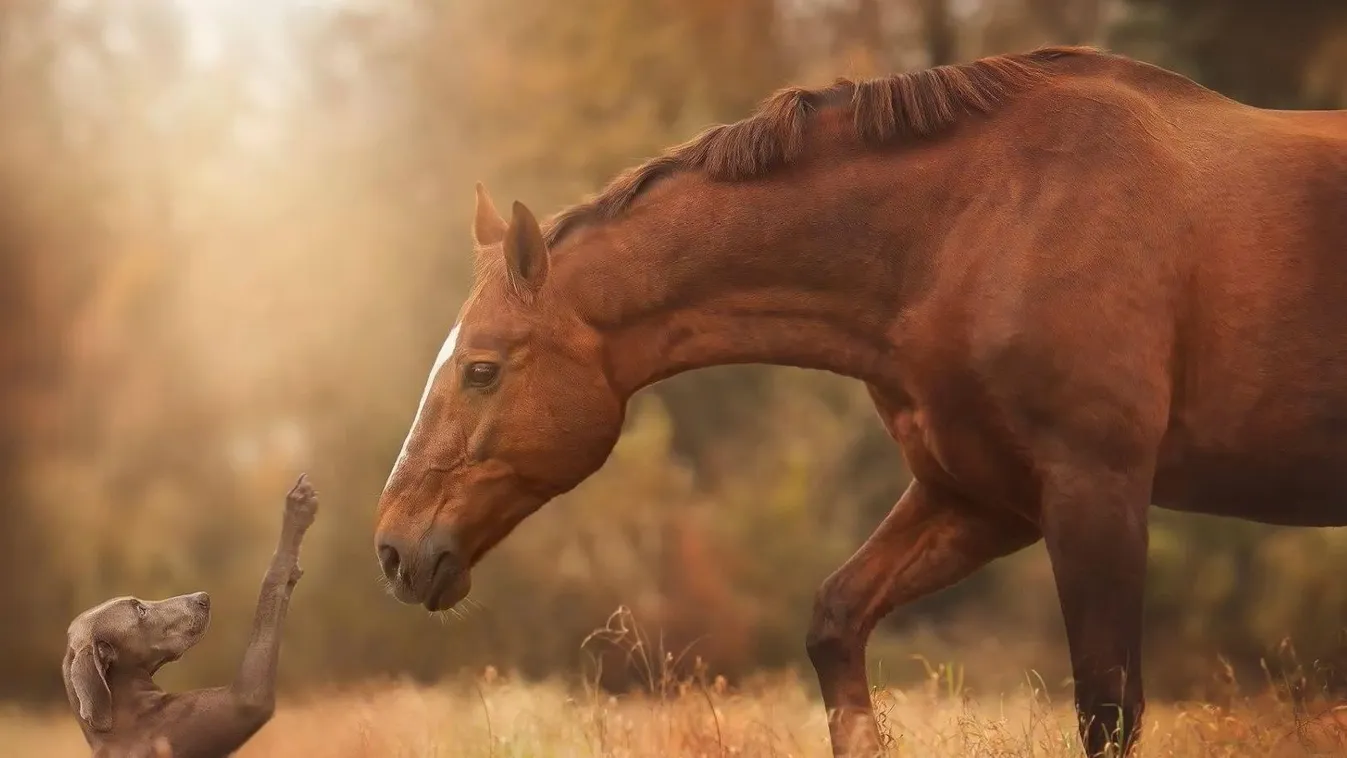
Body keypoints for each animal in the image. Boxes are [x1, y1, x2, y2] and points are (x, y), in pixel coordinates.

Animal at [63, 473, 320, 758]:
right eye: (140, 610)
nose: (204, 598)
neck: (121, 719)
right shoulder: (245, 700)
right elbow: (272, 582)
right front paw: (298, 509)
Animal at [371, 47, 1347, 758]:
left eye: (482, 370)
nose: (393, 550)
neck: (981, 220)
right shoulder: (981, 497)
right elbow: (836, 623)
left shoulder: (1093, 492)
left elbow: (1107, 711)